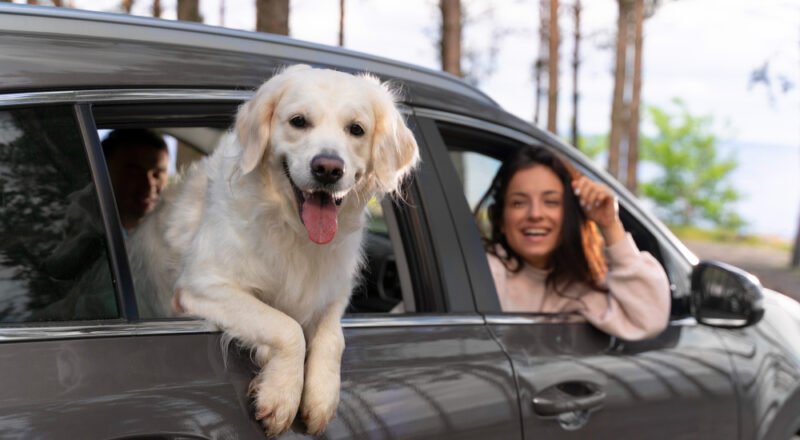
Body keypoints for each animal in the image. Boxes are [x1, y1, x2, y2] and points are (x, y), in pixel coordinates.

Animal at [126, 64, 418, 436]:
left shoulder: (333, 292)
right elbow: (285, 326)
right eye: (298, 121)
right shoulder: (201, 286)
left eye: (356, 129)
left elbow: (333, 337)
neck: (293, 230)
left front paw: (322, 397)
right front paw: (281, 394)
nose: (327, 168)